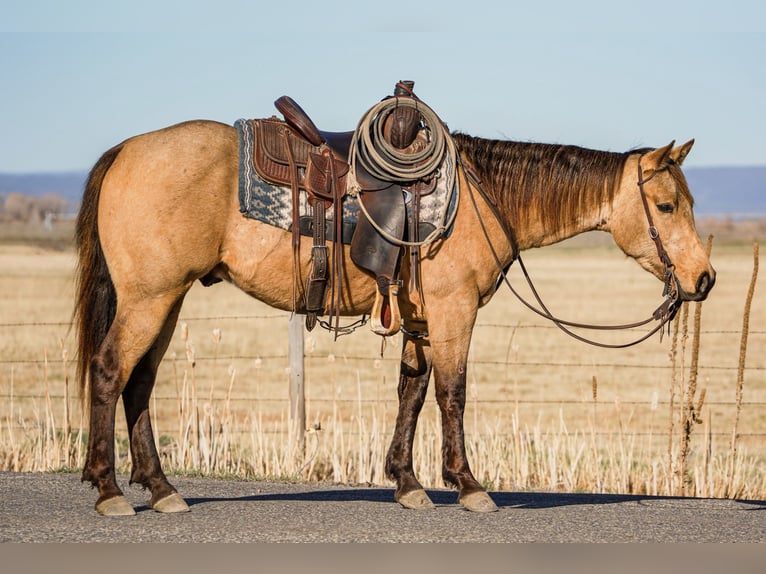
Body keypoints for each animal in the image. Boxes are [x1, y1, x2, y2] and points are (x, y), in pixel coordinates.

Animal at [74, 118, 715, 515]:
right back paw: (108, 489)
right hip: (150, 298)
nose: (703, 279)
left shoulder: (420, 319)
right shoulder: (455, 311)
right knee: (109, 372)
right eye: (665, 206)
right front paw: (468, 484)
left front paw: (407, 482)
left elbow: (412, 389)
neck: (479, 197)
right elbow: (452, 393)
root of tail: (127, 150)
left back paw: (160, 488)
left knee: (139, 382)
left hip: (166, 299)